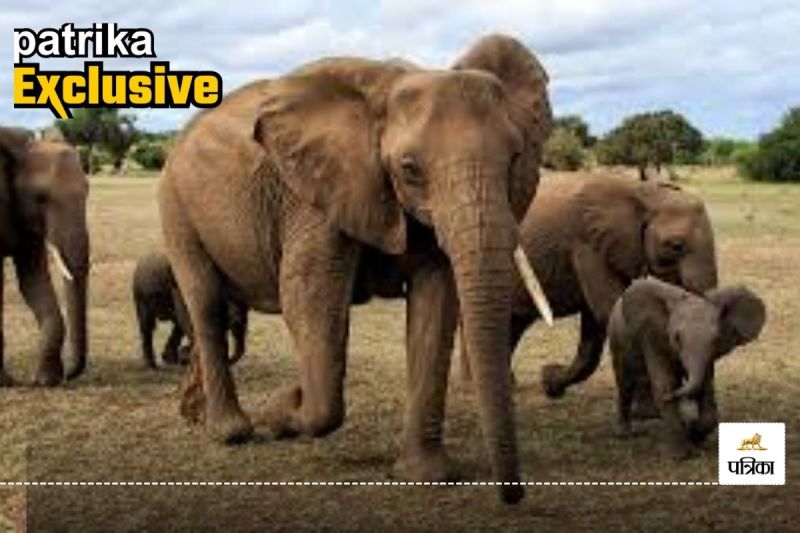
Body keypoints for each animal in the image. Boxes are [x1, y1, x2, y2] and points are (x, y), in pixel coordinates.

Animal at [0, 126, 90, 386]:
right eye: (40, 197)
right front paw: (5, 383)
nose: (70, 375)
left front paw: (46, 381)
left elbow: (34, 281)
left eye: (88, 191)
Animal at [159, 35, 554, 503]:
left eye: (514, 159)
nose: (512, 494)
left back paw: (193, 415)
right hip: (176, 205)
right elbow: (308, 296)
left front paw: (426, 477)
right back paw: (230, 432)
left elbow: (435, 304)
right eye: (409, 168)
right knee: (207, 304)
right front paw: (282, 409)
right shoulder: (313, 194)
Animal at [458, 174, 718, 409]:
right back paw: (474, 387)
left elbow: (595, 327)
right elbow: (609, 310)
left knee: (513, 324)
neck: (641, 192)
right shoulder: (586, 244)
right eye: (675, 245)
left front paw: (550, 383)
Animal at [608, 277, 766, 458]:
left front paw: (692, 433)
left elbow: (706, 387)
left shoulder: (707, 356)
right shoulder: (652, 337)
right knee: (625, 382)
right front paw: (679, 456)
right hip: (617, 339)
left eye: (716, 339)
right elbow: (665, 382)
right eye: (677, 338)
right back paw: (624, 434)